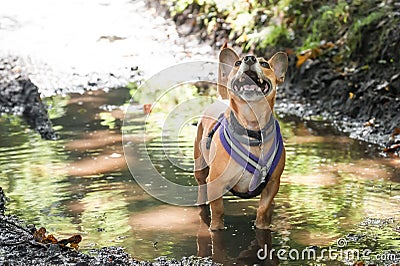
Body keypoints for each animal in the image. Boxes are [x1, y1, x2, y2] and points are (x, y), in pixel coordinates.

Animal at [194, 44, 288, 231]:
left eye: (265, 64)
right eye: (237, 63)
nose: (249, 58)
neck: (252, 128)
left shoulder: (273, 183)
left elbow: (263, 209)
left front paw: (262, 225)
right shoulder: (215, 183)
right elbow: (218, 210)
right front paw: (216, 227)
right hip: (200, 169)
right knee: (201, 188)